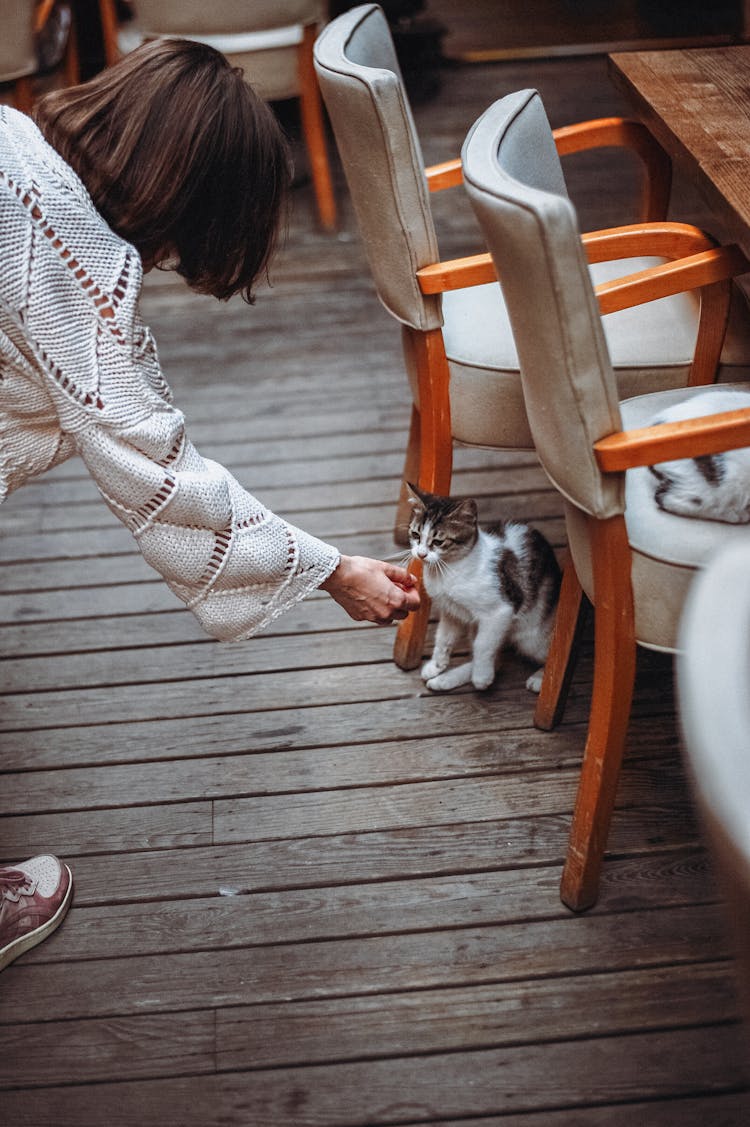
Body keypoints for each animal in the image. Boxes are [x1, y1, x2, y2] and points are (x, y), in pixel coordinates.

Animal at [406, 484, 559, 694]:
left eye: (438, 542)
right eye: (416, 535)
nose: (421, 554)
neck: (447, 571)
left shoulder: (500, 611)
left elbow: (483, 644)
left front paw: (481, 677)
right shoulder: (451, 610)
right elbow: (443, 637)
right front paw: (437, 665)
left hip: (531, 636)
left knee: (548, 652)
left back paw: (540, 678)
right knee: (498, 660)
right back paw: (445, 680)